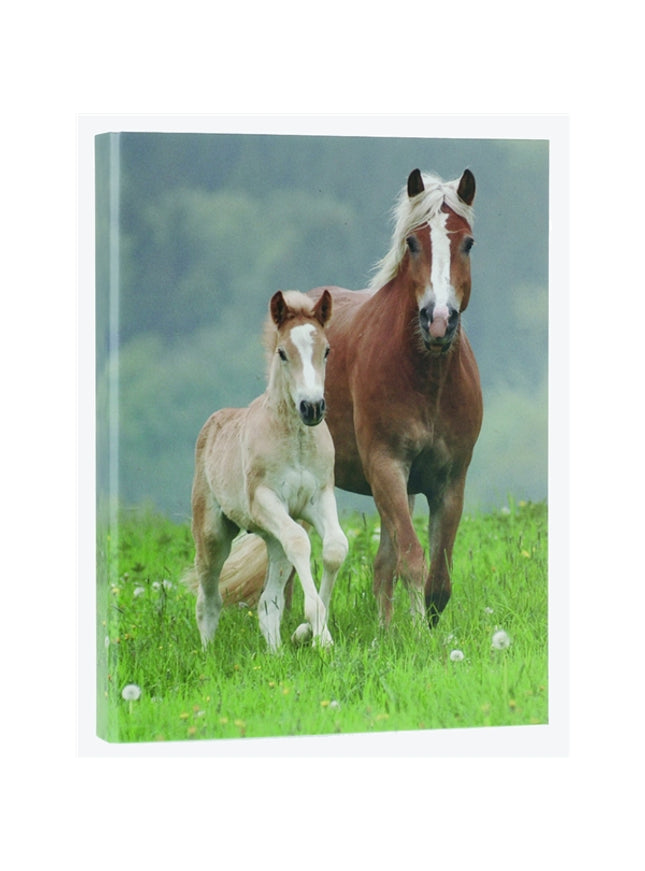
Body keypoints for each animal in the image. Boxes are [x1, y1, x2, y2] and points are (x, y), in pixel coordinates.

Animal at [183, 289, 348, 651]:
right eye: (282, 353)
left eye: (327, 350)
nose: (312, 407)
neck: (296, 440)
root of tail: (212, 422)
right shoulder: (265, 500)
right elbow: (301, 542)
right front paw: (321, 635)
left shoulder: (319, 497)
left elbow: (334, 548)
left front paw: (312, 632)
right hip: (213, 533)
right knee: (208, 598)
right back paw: (208, 653)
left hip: (272, 539)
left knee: (267, 602)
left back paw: (275, 655)